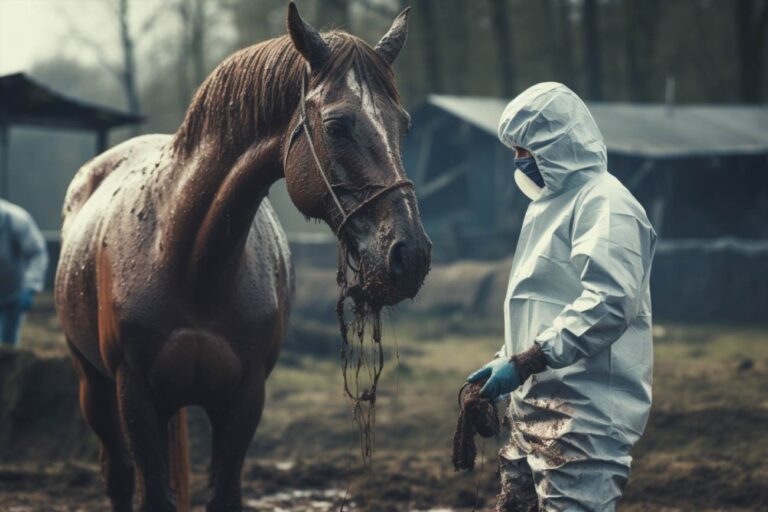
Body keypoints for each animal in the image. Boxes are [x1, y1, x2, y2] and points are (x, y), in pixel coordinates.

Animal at [55, 5, 432, 512]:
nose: (410, 254)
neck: (189, 259)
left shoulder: (245, 397)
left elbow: (224, 492)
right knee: (116, 473)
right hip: (93, 386)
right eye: (337, 126)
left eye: (403, 125)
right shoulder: (133, 392)